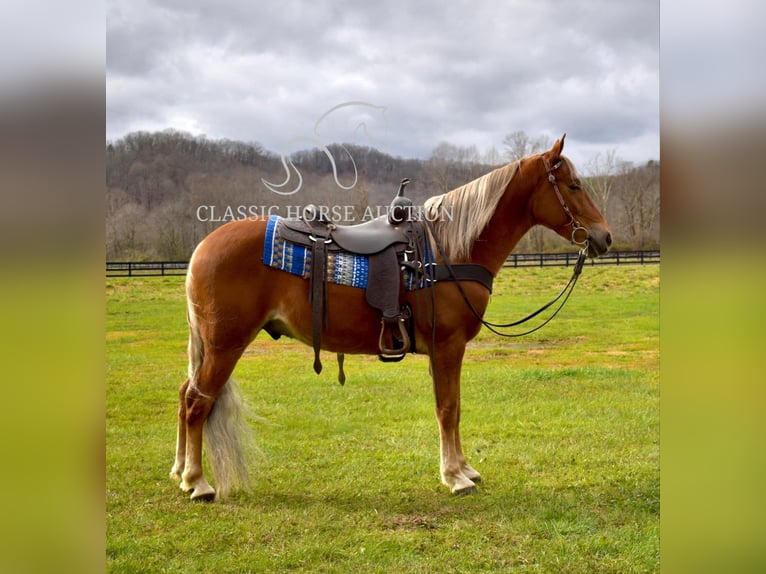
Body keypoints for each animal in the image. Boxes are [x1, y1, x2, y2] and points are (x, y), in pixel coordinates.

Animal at [170, 134, 612, 500]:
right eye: (573, 186)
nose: (604, 237)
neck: (447, 252)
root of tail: (202, 248)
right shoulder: (448, 346)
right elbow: (448, 408)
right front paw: (456, 477)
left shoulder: (440, 352)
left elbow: (451, 407)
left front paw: (463, 467)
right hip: (226, 345)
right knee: (196, 401)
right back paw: (197, 482)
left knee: (184, 393)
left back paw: (181, 472)